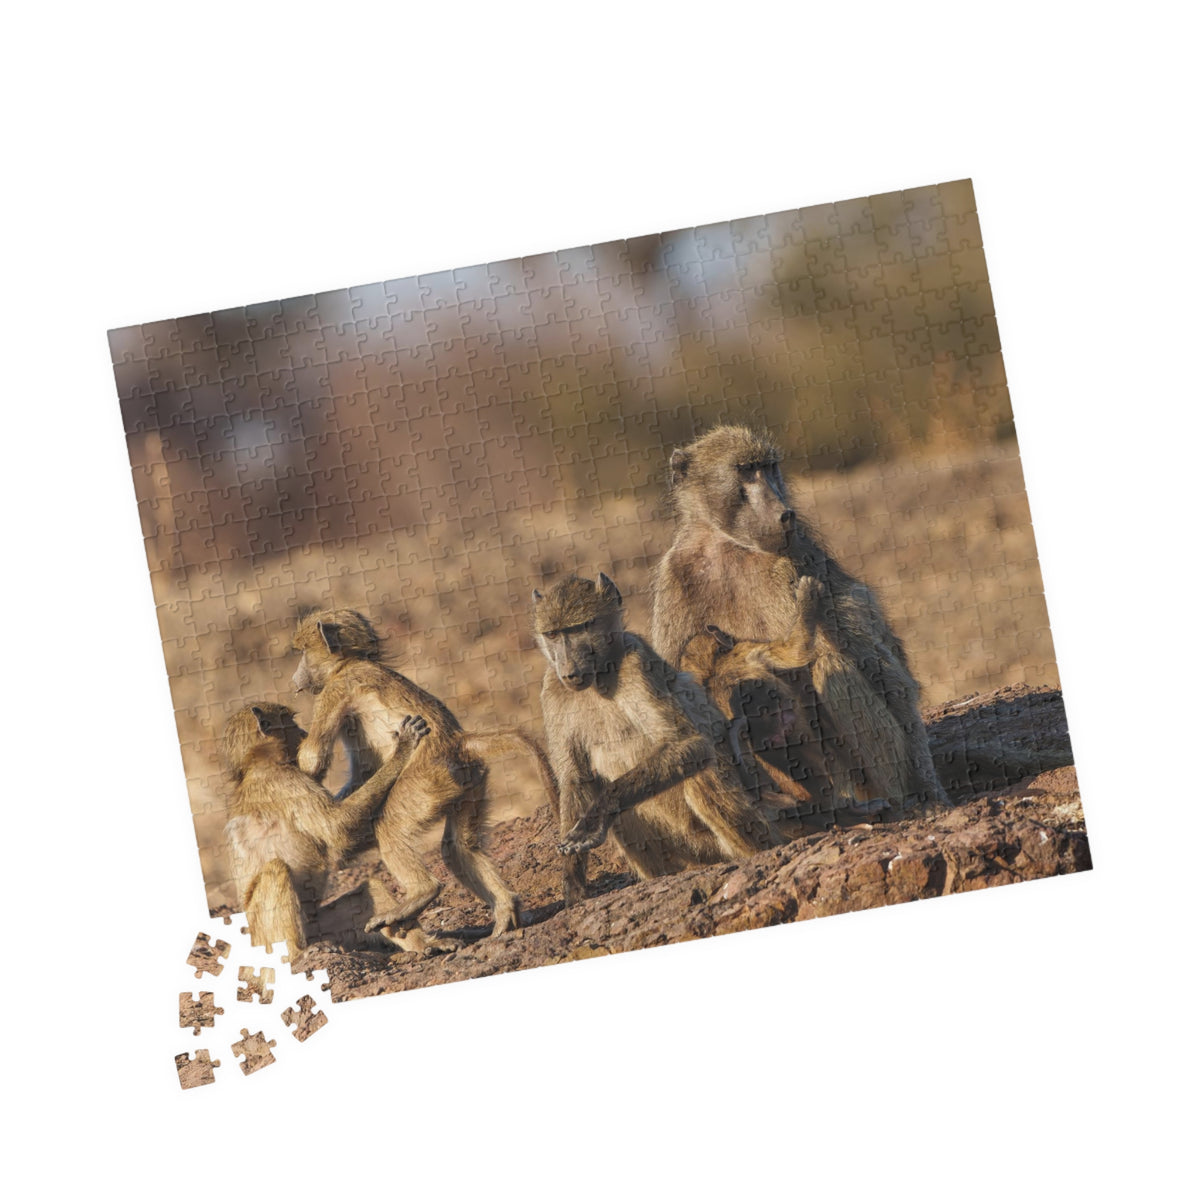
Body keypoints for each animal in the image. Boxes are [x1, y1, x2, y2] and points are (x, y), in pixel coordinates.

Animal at [222, 702, 430, 962]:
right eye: (290, 721)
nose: (303, 733)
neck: (254, 765)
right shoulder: (287, 781)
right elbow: (338, 829)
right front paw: (403, 748)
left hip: (315, 927)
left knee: (367, 893)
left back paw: (428, 944)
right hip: (264, 939)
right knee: (276, 869)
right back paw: (298, 954)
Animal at [290, 609, 558, 952]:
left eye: (302, 652)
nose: (294, 678)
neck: (350, 663)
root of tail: (459, 742)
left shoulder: (335, 689)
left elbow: (312, 759)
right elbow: (363, 771)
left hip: (426, 780)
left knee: (391, 826)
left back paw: (421, 894)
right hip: (468, 782)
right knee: (458, 848)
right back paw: (504, 913)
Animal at [532, 572, 778, 906]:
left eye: (580, 628)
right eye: (554, 634)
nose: (569, 670)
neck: (599, 677)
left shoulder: (637, 665)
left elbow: (691, 744)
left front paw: (596, 816)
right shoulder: (552, 689)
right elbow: (577, 779)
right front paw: (573, 886)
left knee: (699, 777)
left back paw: (755, 856)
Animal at [651, 424, 951, 818]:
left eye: (769, 468)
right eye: (745, 470)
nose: (784, 514)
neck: (725, 545)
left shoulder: (791, 566)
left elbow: (871, 662)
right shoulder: (674, 578)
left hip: (858, 773)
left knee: (832, 665)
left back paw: (902, 802)